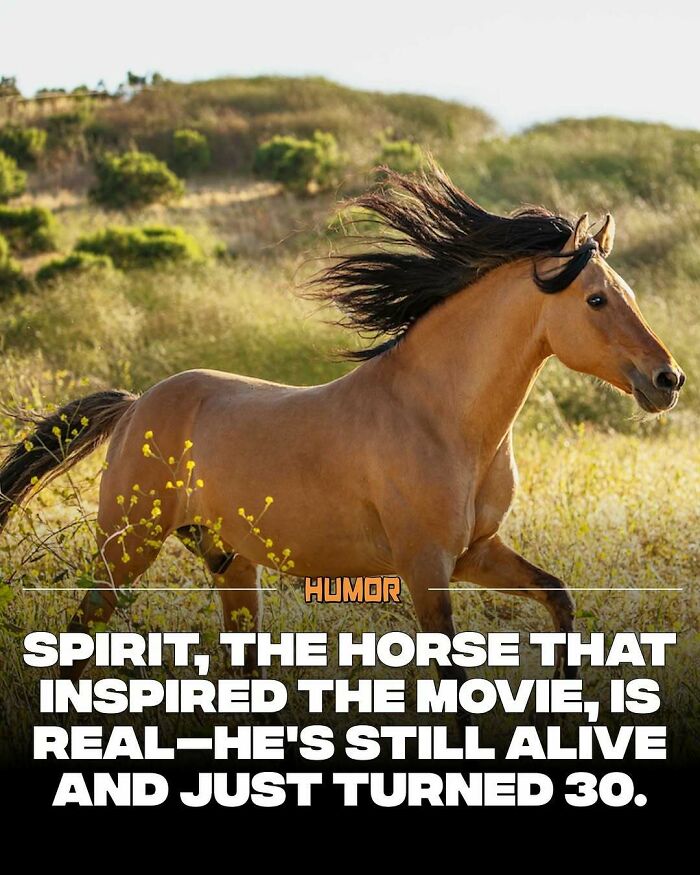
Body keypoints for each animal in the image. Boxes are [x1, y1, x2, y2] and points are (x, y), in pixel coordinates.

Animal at [0, 166, 684, 682]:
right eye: (596, 299)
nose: (667, 380)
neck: (441, 418)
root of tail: (138, 404)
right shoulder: (425, 566)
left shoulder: (475, 554)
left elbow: (558, 597)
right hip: (128, 549)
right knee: (80, 637)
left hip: (230, 562)